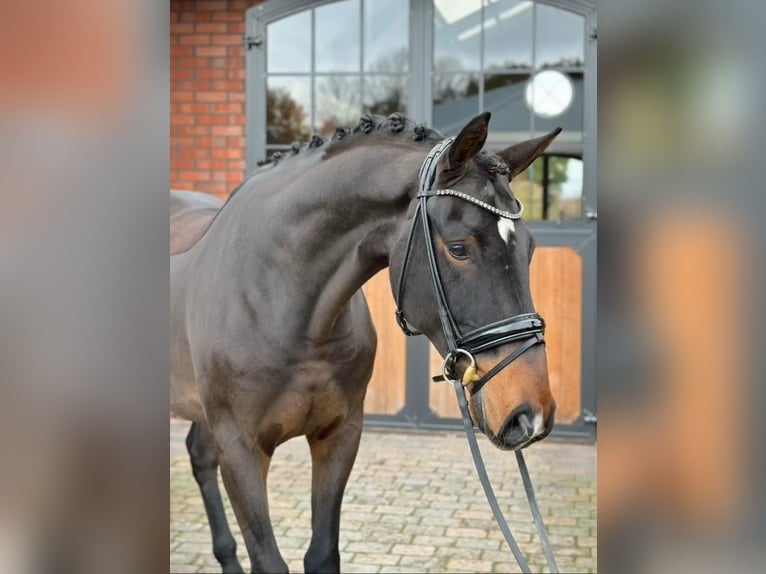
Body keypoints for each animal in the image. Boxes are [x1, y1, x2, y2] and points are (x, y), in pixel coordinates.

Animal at [171, 113, 560, 574]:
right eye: (459, 248)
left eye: (531, 249)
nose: (530, 413)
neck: (284, 304)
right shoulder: (241, 449)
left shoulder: (339, 436)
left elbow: (322, 553)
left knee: (198, 454)